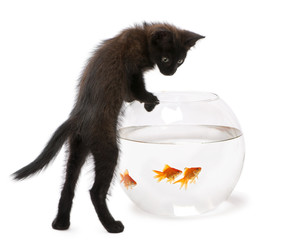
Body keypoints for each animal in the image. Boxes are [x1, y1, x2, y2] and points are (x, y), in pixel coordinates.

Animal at [12, 22, 204, 232]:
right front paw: (150, 100)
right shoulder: (132, 69)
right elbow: (138, 89)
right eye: (165, 59)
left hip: (77, 148)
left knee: (68, 184)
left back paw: (61, 223)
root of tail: (78, 117)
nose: (171, 73)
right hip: (107, 148)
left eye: (180, 61)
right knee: (95, 191)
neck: (142, 38)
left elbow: (130, 95)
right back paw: (112, 225)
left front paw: (147, 102)